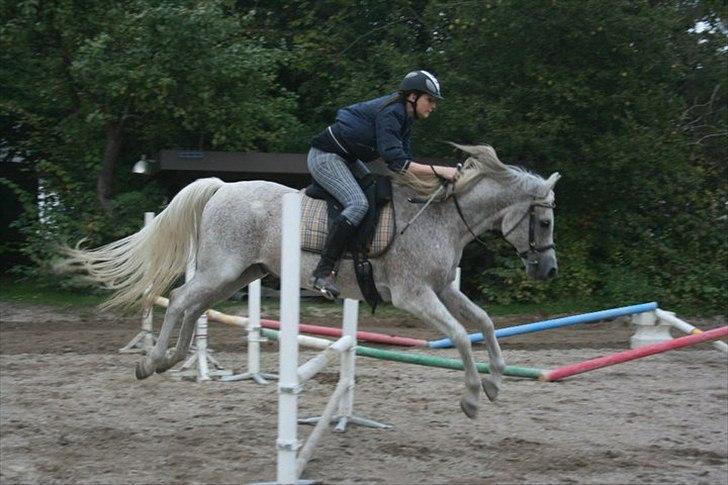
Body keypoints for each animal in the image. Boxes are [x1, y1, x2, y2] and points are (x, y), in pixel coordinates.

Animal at [64, 143, 564, 416]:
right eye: (543, 222)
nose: (548, 270)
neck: (441, 217)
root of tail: (223, 186)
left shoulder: (442, 289)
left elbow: (484, 323)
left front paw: (496, 382)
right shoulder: (415, 295)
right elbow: (460, 335)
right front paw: (473, 399)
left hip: (239, 274)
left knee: (193, 304)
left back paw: (173, 359)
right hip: (221, 269)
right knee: (183, 298)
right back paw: (153, 361)